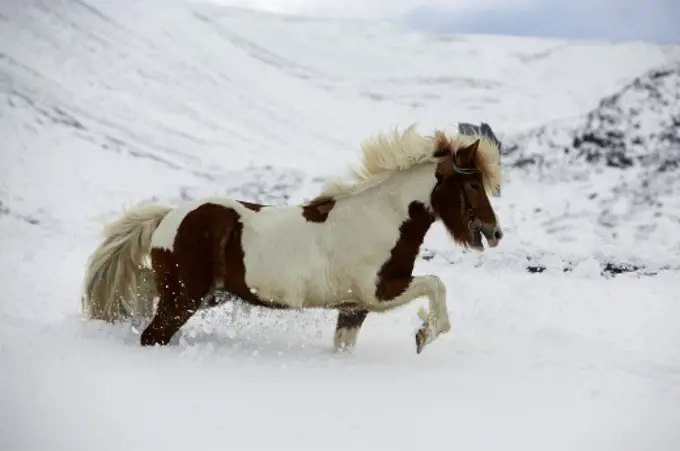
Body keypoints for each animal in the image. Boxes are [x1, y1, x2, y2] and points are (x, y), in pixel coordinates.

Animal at [81, 125, 504, 354]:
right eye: (472, 184)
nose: (495, 232)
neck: (381, 217)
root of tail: (168, 218)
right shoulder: (380, 292)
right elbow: (436, 284)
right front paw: (424, 334)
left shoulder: (354, 308)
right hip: (183, 299)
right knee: (152, 336)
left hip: (199, 296)